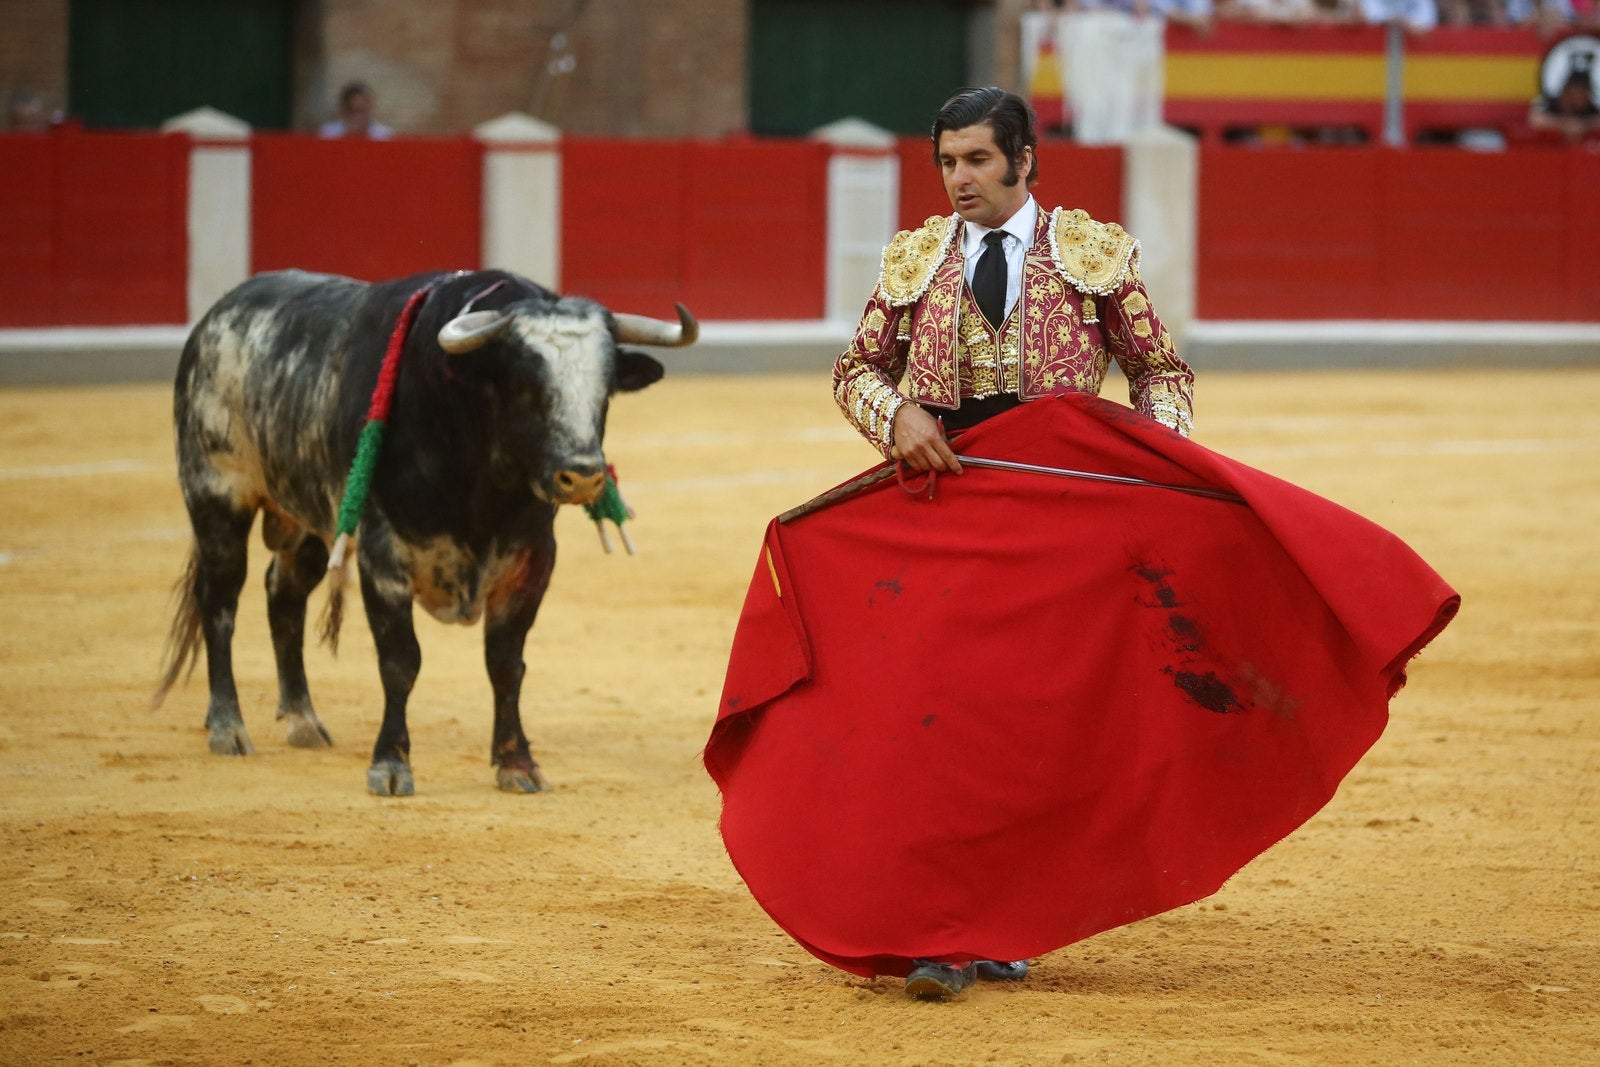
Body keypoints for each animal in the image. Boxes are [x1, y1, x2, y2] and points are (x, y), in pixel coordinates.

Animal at [152, 271, 697, 796]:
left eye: (605, 391)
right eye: (526, 385)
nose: (582, 475)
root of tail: (217, 315)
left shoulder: (532, 560)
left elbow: (506, 663)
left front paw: (518, 764)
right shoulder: (382, 557)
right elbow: (401, 662)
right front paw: (390, 765)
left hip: (307, 519)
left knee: (283, 595)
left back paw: (303, 720)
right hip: (217, 497)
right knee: (220, 601)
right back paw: (228, 726)